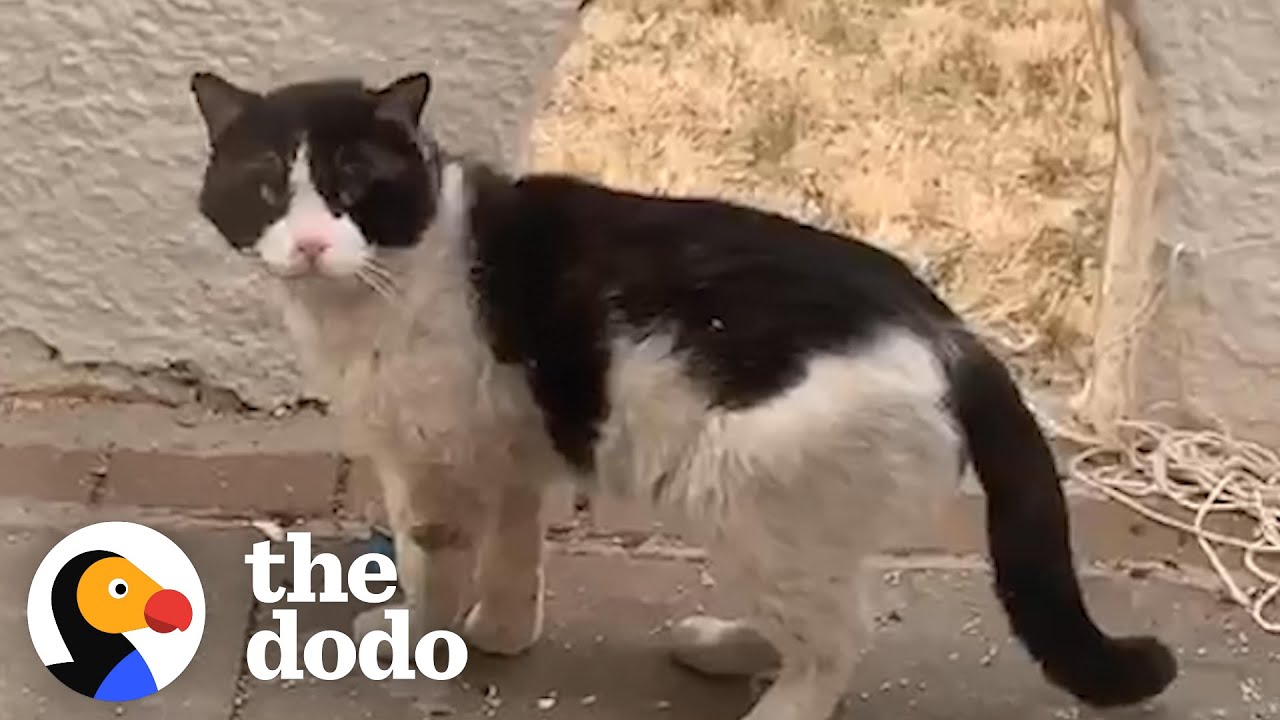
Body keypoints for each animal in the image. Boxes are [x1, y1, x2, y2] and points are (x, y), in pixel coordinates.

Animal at [185, 68, 1172, 717]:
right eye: (267, 187)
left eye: (354, 185)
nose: (312, 245)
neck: (398, 273)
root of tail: (958, 338)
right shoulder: (513, 454)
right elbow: (515, 554)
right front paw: (501, 635)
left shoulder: (432, 469)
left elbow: (435, 563)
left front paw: (411, 641)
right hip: (802, 522)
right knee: (830, 612)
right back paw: (724, 648)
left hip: (742, 495)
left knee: (840, 641)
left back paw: (773, 709)